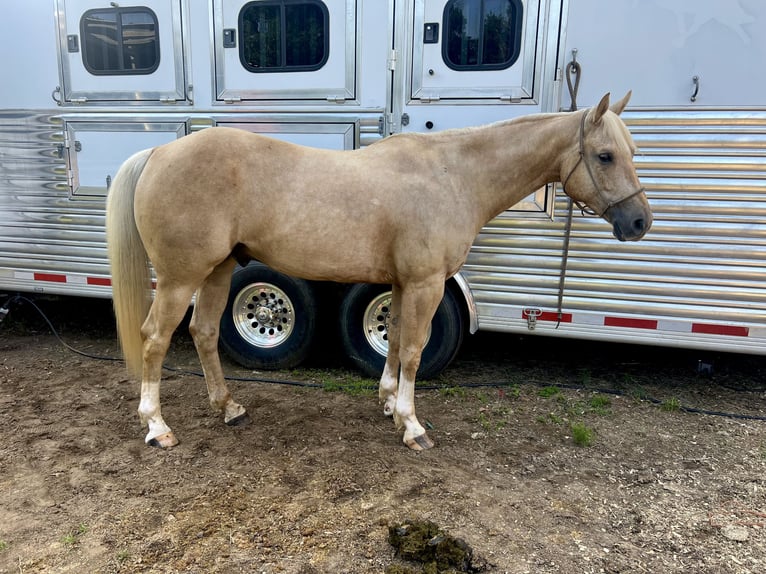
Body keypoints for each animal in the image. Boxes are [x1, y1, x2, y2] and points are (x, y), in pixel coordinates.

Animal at [106, 91, 656, 450]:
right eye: (605, 155)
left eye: (632, 152)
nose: (640, 222)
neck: (452, 175)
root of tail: (158, 152)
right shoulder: (426, 283)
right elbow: (413, 349)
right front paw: (412, 426)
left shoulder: (401, 282)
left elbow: (393, 342)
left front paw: (390, 403)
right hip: (180, 278)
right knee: (155, 338)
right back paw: (157, 427)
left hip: (218, 269)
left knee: (202, 331)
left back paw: (228, 408)